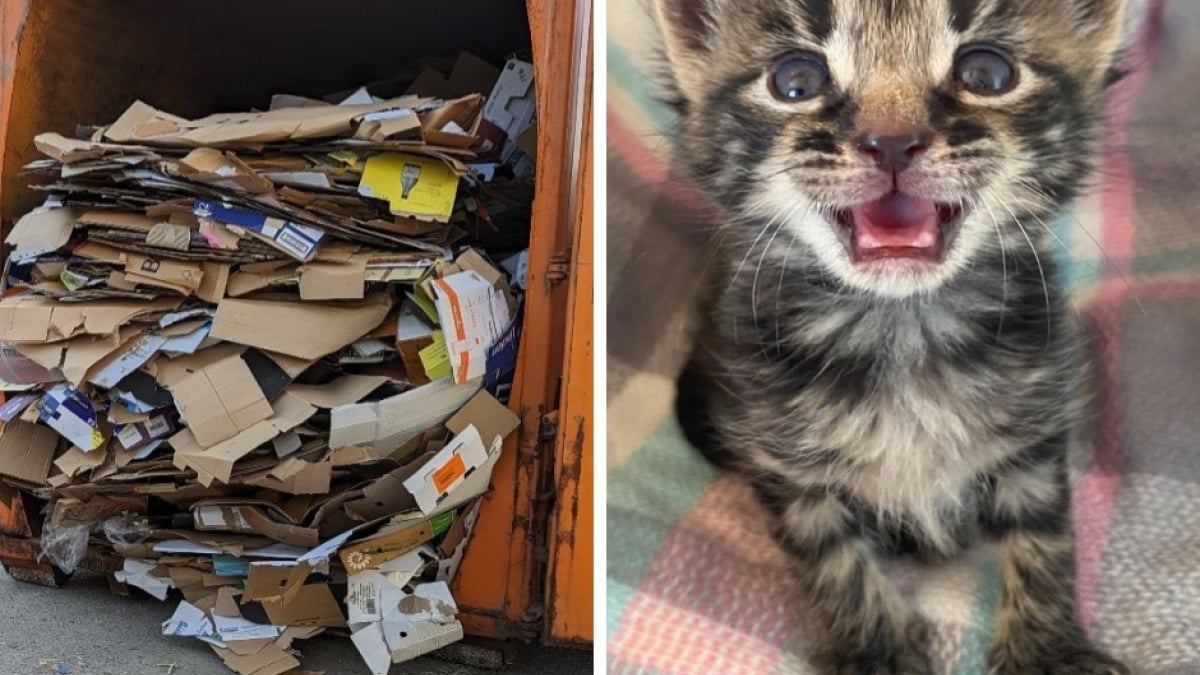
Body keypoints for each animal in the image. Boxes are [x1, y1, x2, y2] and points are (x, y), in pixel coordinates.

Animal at [662, 1, 1137, 672]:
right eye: (796, 82)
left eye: (987, 73)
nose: (890, 142)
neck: (902, 327)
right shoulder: (783, 457)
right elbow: (829, 554)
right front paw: (874, 650)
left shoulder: (1035, 425)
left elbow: (1044, 537)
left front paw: (1049, 650)